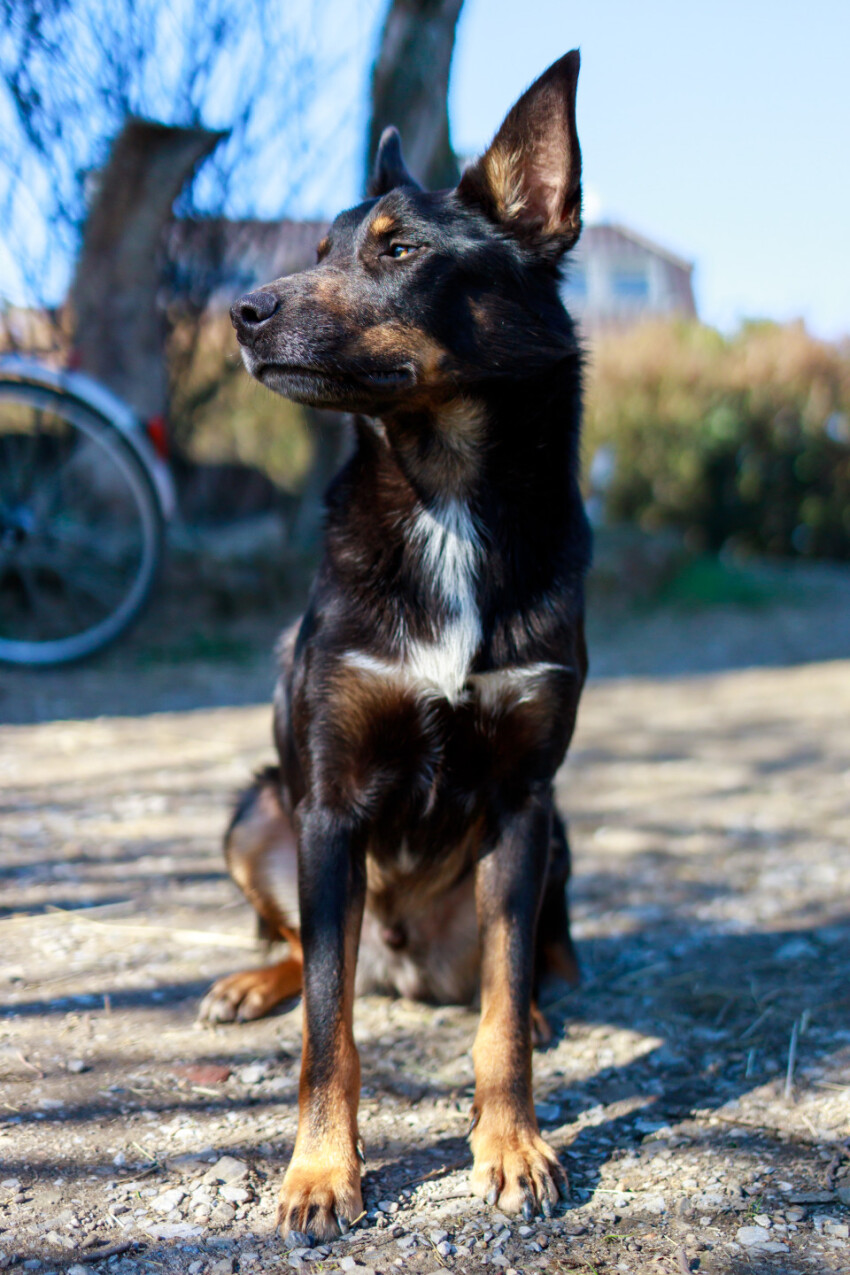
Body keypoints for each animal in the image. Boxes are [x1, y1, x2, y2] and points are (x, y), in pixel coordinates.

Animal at [202, 52, 591, 1244]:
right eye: (323, 250)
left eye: (398, 250)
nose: (241, 311)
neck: (445, 493)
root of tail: (406, 962)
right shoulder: (327, 806)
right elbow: (327, 1034)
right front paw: (321, 1173)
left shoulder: (523, 797)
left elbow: (499, 1015)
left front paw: (511, 1145)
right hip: (259, 810)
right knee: (305, 953)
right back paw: (252, 984)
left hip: (558, 832)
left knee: (527, 958)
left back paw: (553, 998)